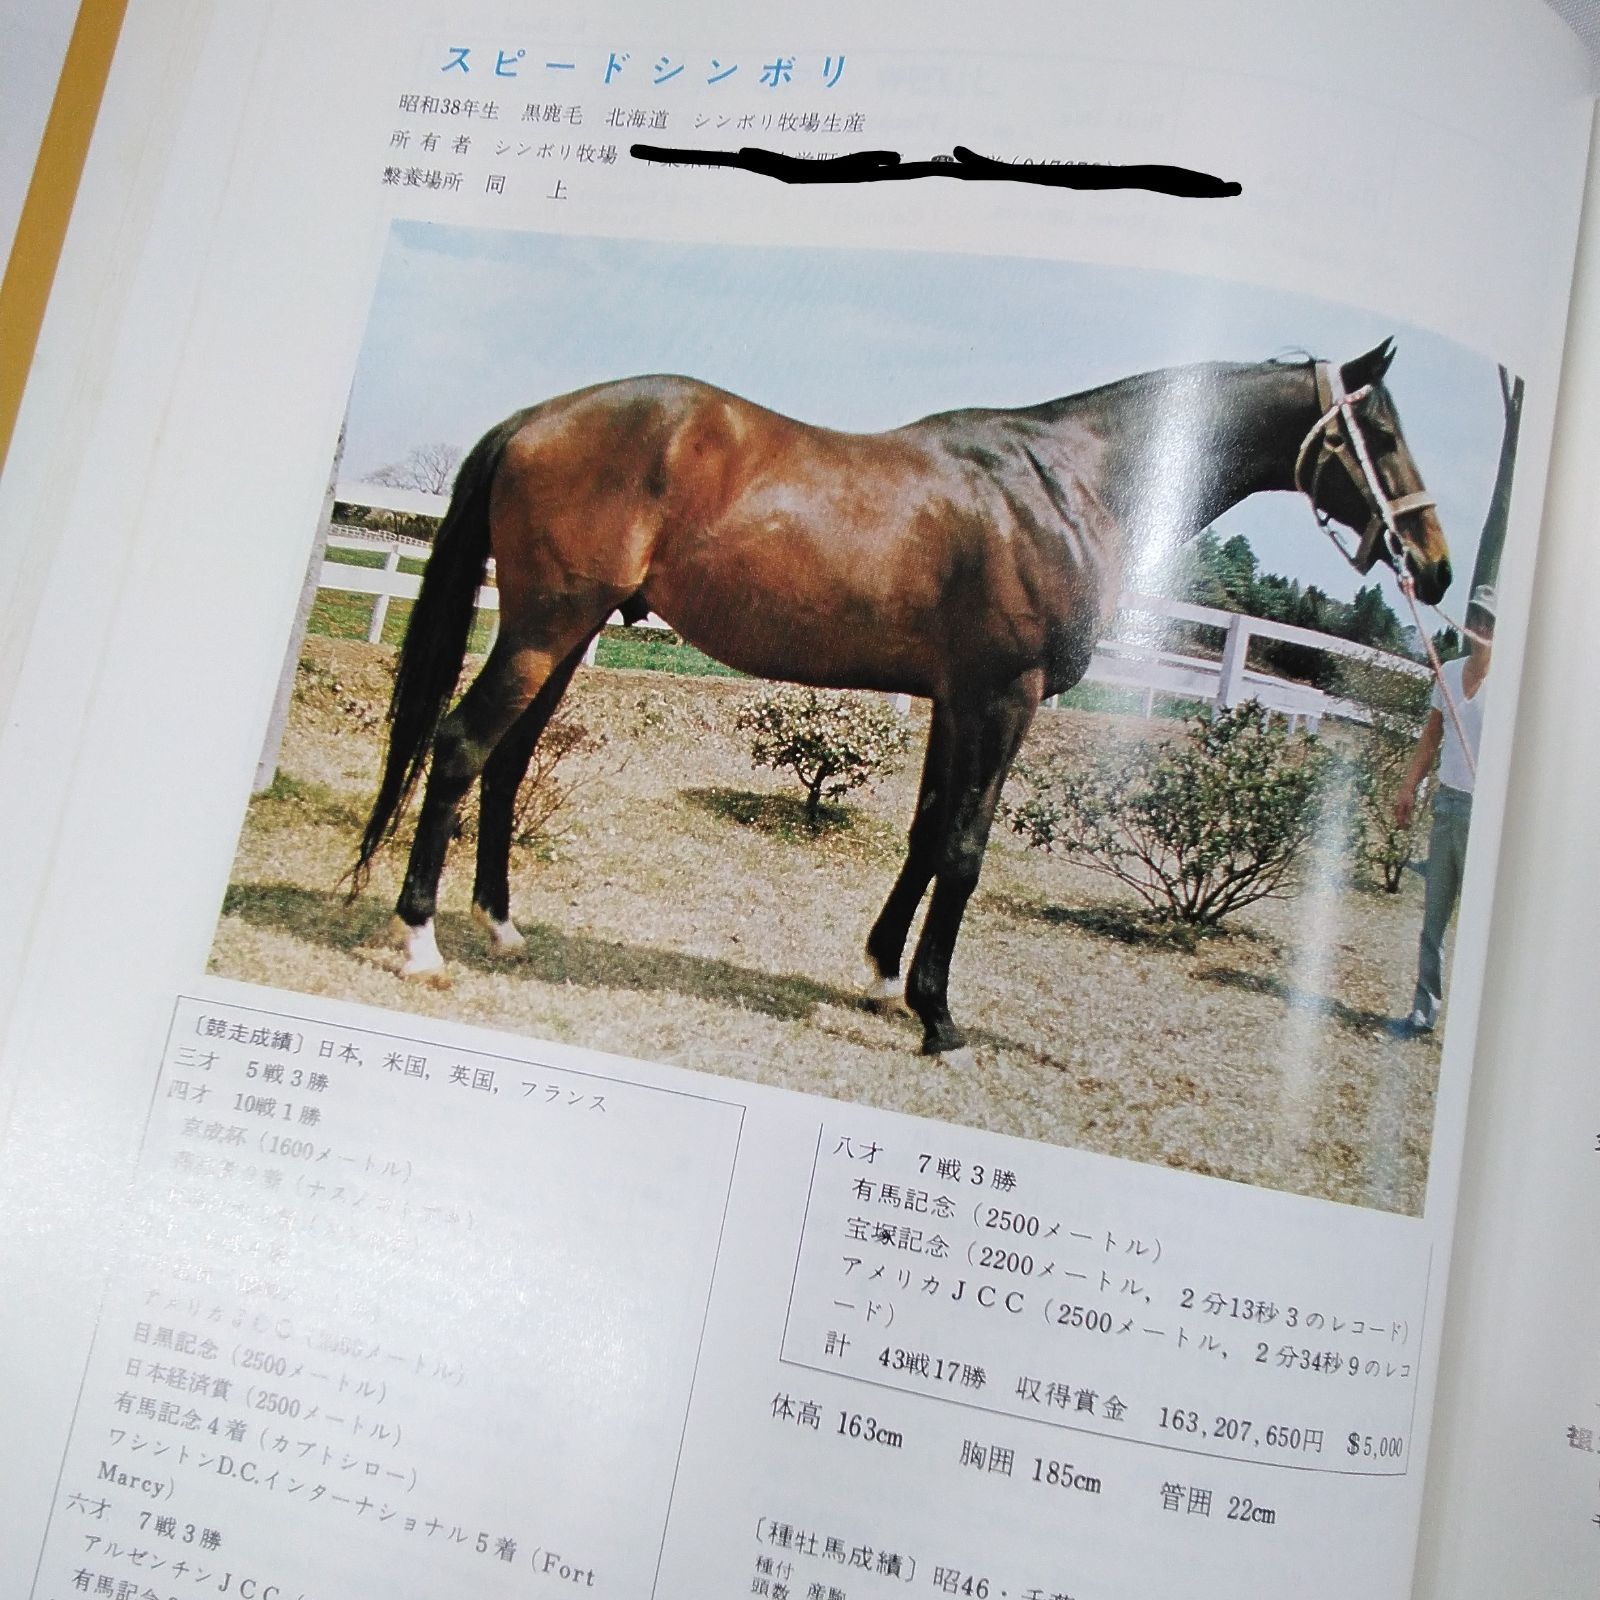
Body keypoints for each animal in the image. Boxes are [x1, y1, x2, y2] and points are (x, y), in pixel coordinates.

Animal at [351, 338, 1450, 1057]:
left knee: (508, 760)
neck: (1063, 485)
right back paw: (422, 941)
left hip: (568, 634)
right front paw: (939, 1017)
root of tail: (532, 420)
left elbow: (925, 834)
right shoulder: (1006, 698)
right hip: (544, 628)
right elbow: (963, 851)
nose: (1434, 567)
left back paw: (502, 925)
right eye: (1380, 431)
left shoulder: (956, 700)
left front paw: (883, 977)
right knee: (461, 746)